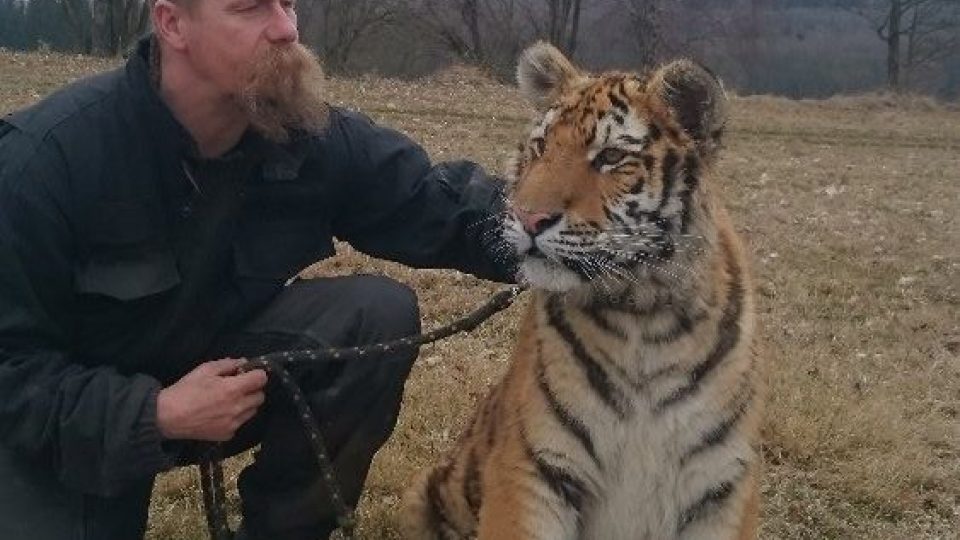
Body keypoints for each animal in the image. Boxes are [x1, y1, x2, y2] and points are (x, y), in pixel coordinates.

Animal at [402, 42, 760, 540]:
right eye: (541, 147)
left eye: (609, 157)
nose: (527, 217)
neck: (643, 311)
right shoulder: (533, 468)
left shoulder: (721, 487)